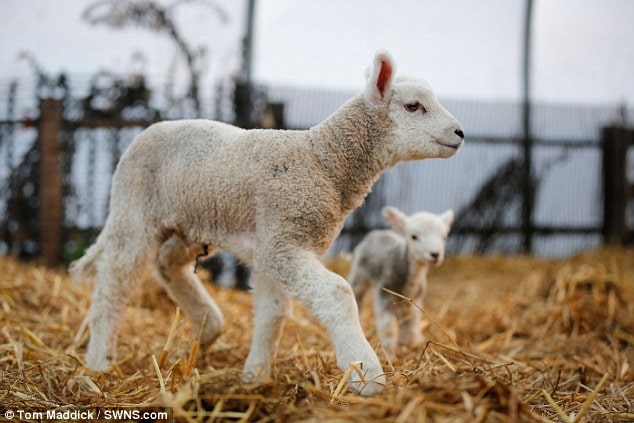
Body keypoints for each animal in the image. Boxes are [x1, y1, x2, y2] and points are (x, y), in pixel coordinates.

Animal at [346, 207, 454, 356]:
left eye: (444, 237)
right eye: (413, 236)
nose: (435, 255)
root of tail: (377, 232)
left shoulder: (415, 299)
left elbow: (411, 322)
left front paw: (410, 344)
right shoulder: (385, 292)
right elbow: (388, 327)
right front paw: (388, 351)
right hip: (359, 272)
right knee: (357, 294)